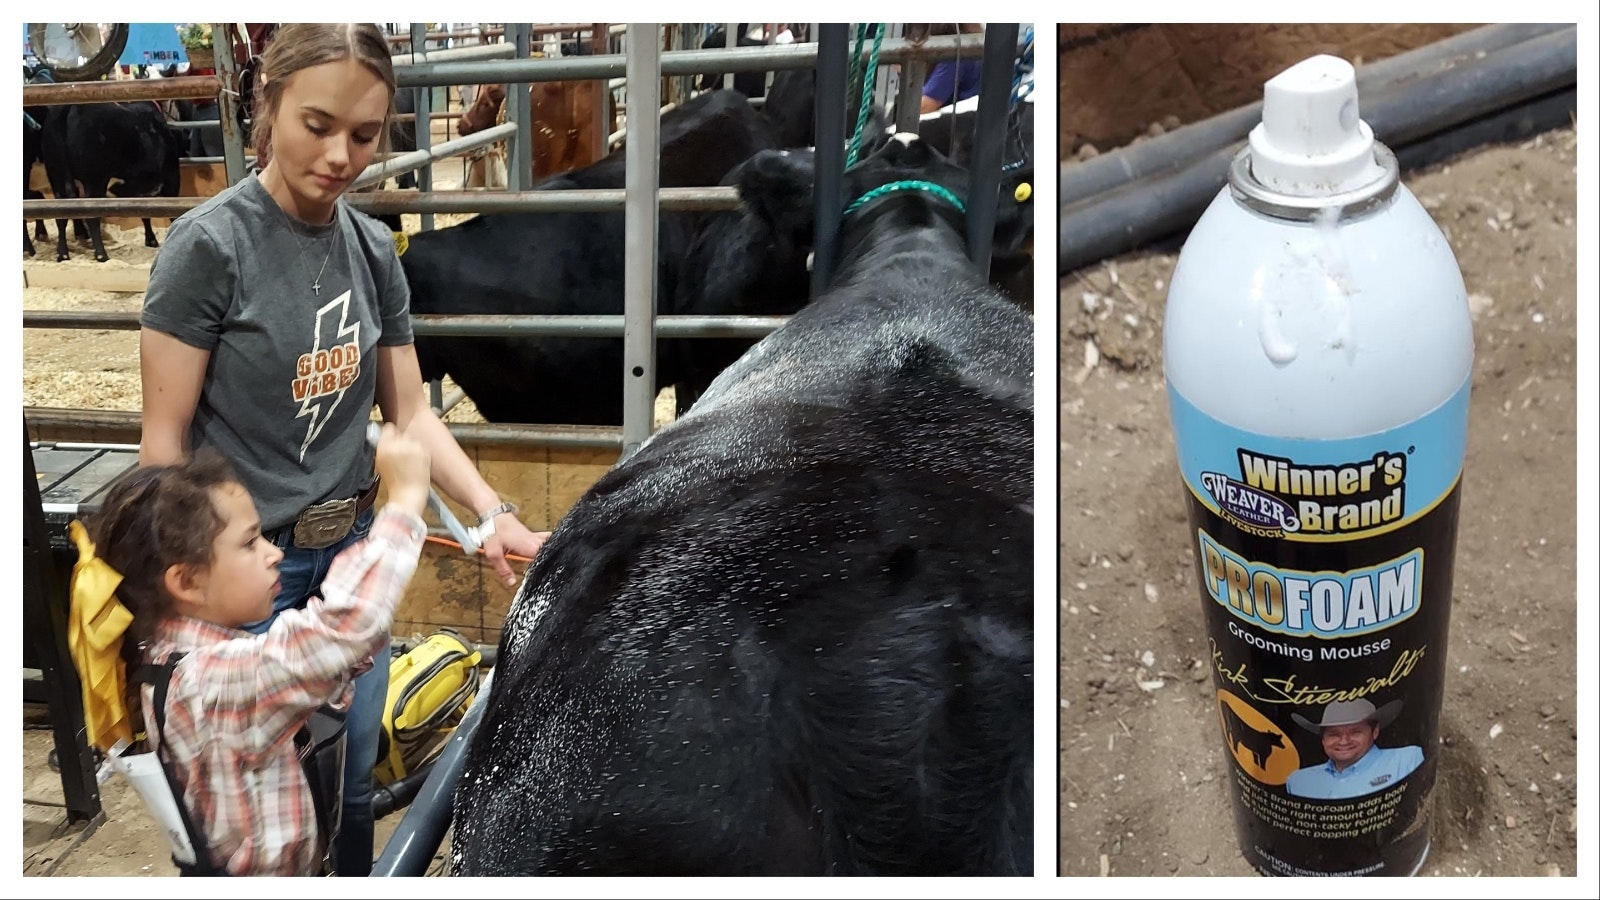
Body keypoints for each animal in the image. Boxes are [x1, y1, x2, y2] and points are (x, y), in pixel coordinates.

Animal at [39, 99, 182, 259]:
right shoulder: (170, 176)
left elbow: (143, 212)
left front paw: (150, 239)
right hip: (95, 179)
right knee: (91, 217)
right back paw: (101, 254)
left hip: (56, 175)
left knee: (60, 214)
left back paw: (62, 253)